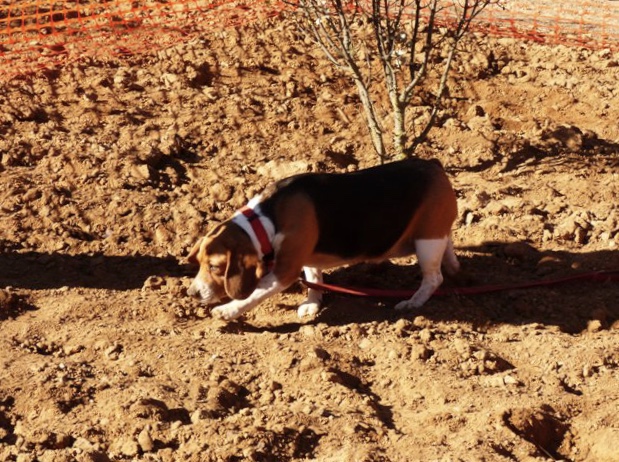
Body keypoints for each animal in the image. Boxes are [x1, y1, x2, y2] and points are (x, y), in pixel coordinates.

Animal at [189, 159, 460, 322]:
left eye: (215, 267)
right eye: (200, 263)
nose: (192, 293)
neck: (265, 219)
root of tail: (433, 164)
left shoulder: (284, 271)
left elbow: (254, 293)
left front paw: (228, 310)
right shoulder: (307, 256)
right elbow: (314, 278)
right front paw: (312, 302)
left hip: (427, 241)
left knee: (434, 278)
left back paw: (413, 301)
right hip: (430, 236)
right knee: (447, 244)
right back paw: (452, 263)